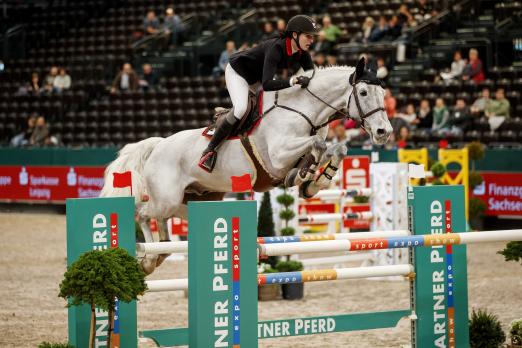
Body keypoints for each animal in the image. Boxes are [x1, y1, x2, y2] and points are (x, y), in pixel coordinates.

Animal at [99, 58, 390, 274]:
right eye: (363, 92)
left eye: (383, 93)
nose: (384, 132)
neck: (304, 110)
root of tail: (157, 145)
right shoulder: (279, 155)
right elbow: (317, 147)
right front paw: (303, 176)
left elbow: (335, 149)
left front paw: (313, 183)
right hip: (167, 198)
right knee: (142, 214)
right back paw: (148, 260)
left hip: (195, 200)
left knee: (159, 219)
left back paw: (160, 252)